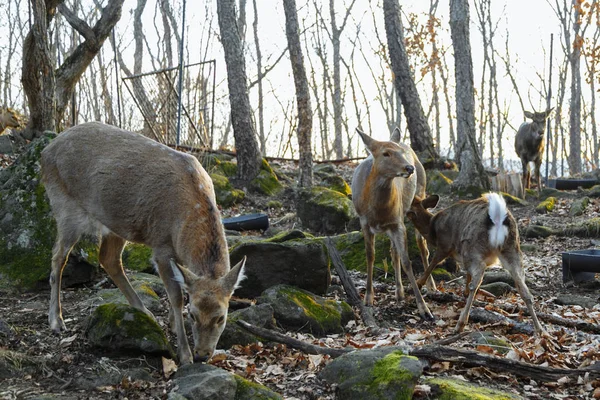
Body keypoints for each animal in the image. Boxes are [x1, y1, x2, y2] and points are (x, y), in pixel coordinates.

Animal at [41, 122, 246, 366]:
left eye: (221, 317)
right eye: (192, 314)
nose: (202, 355)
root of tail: (46, 151)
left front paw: (172, 326)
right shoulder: (161, 246)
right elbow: (176, 297)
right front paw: (184, 354)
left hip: (116, 223)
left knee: (108, 259)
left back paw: (144, 312)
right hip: (65, 206)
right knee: (57, 258)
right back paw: (56, 321)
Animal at [352, 128, 436, 318]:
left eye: (400, 152)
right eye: (386, 153)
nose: (409, 167)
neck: (377, 210)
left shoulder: (398, 223)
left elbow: (407, 261)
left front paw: (424, 308)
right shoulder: (364, 222)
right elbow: (370, 256)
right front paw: (368, 298)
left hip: (419, 195)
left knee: (422, 245)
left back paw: (431, 286)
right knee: (393, 251)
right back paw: (399, 292)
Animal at [408, 194, 544, 334]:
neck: (432, 229)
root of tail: (497, 215)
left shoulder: (445, 244)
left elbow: (433, 263)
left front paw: (418, 283)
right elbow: (467, 273)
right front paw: (465, 292)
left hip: (472, 247)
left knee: (478, 277)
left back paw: (460, 324)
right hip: (512, 249)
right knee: (524, 289)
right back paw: (541, 331)